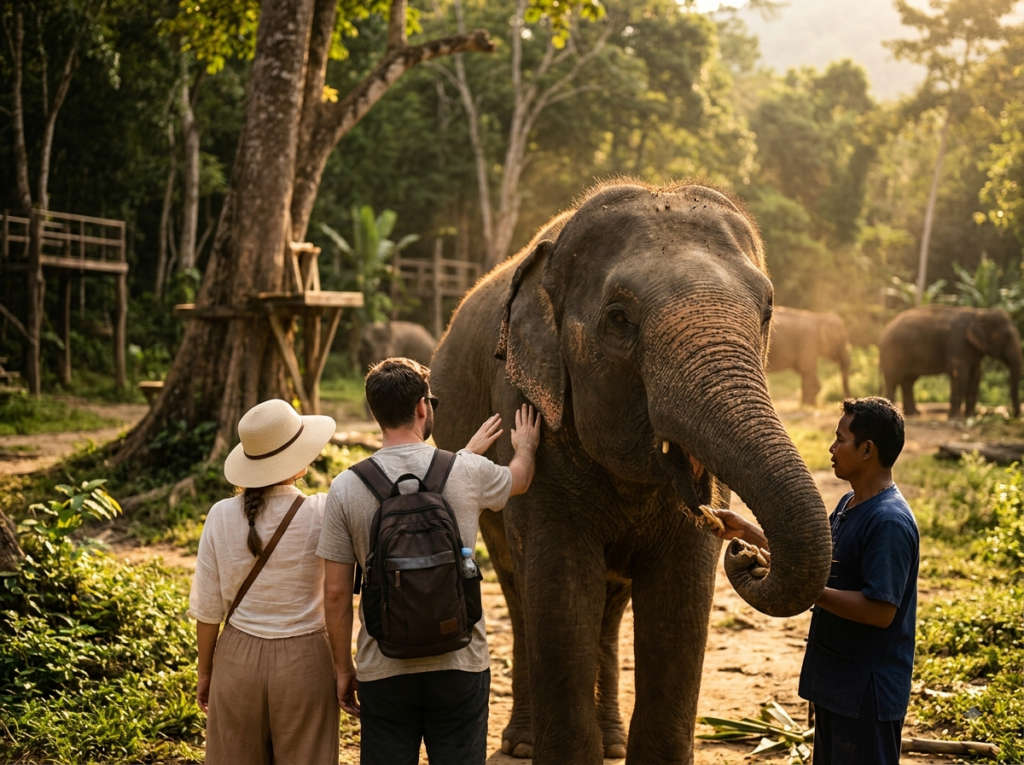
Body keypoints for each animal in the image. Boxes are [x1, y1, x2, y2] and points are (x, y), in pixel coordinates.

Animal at [429, 181, 832, 764]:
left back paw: (613, 742)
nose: (746, 550)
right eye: (619, 319)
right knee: (518, 585)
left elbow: (682, 593)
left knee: (610, 605)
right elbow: (560, 585)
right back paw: (524, 744)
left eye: (767, 310)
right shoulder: (525, 411)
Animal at [879, 305, 1022, 418]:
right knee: (893, 379)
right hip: (892, 353)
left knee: (908, 381)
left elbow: (975, 375)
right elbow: (961, 375)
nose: (1014, 416)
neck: (979, 312)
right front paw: (957, 418)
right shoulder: (958, 343)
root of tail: (885, 328)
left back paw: (913, 414)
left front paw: (969, 416)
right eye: (1007, 336)